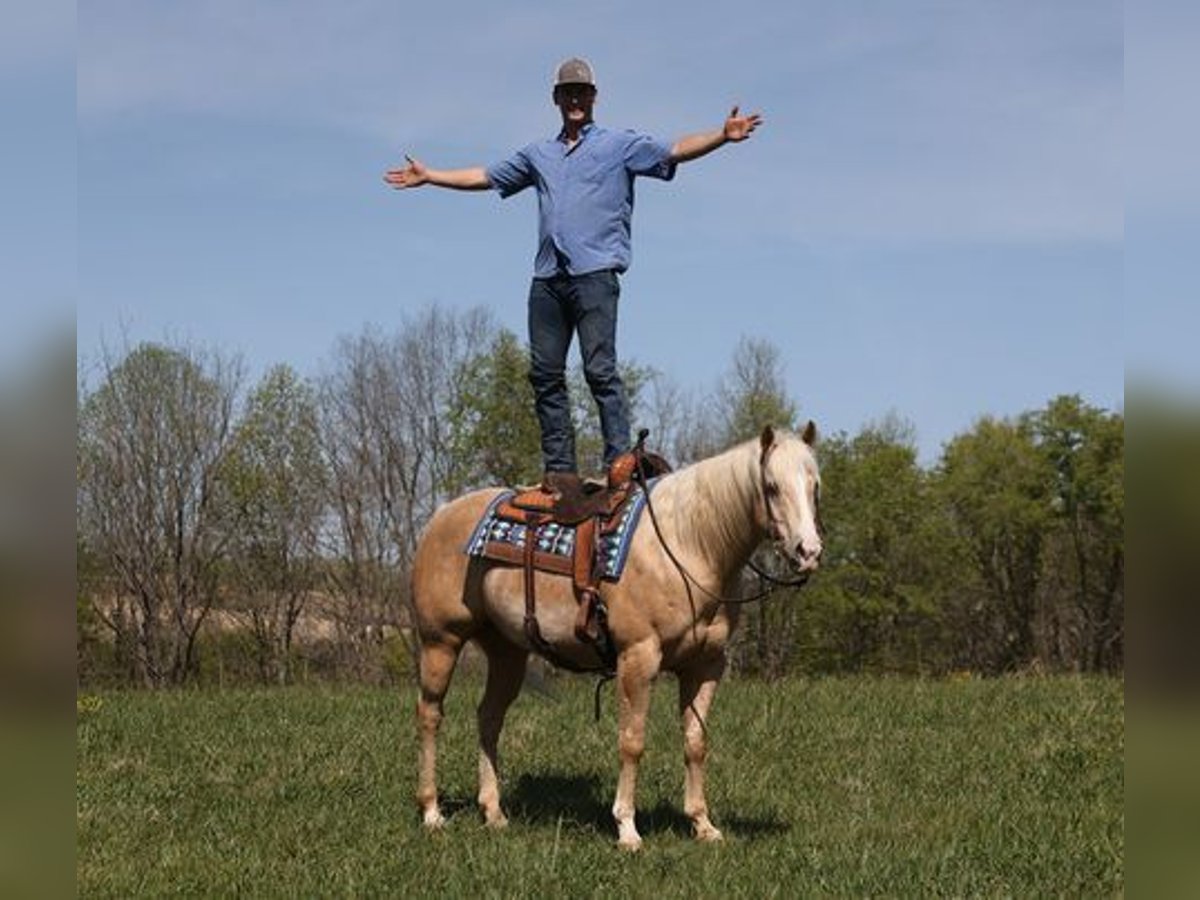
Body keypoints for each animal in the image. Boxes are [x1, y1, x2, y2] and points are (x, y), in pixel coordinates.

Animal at [412, 427, 825, 849]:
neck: (688, 544)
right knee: (430, 715)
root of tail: (439, 517)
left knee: (489, 717)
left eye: (815, 486)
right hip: (440, 642)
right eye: (771, 487)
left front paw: (703, 824)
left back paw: (493, 812)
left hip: (506, 651)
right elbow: (632, 741)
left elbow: (696, 742)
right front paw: (627, 828)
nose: (808, 551)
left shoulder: (706, 664)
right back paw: (431, 812)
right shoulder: (638, 657)